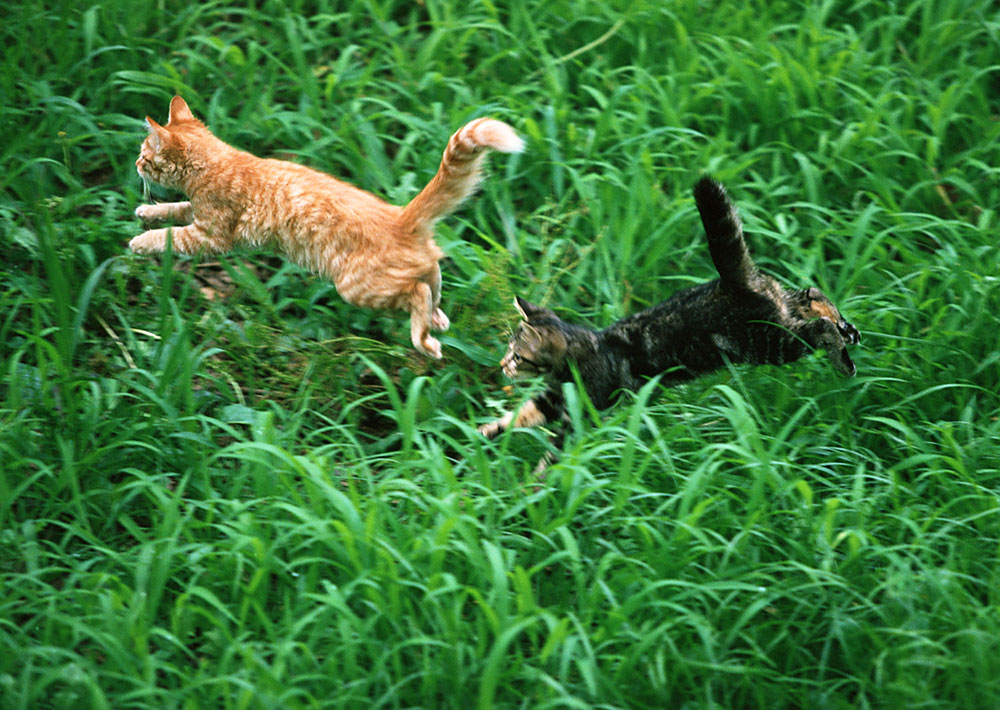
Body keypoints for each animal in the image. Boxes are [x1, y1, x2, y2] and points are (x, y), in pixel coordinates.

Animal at [131, 94, 524, 358]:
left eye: (144, 155)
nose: (135, 164)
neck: (218, 162)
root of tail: (401, 216)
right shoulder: (196, 214)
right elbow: (175, 208)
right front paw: (146, 211)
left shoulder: (210, 236)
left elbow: (170, 236)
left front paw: (141, 241)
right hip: (407, 273)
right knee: (434, 282)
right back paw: (437, 320)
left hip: (356, 288)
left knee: (418, 292)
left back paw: (425, 340)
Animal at [478, 177, 860, 444]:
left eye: (516, 355)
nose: (501, 365)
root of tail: (732, 280)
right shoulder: (551, 400)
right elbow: (514, 418)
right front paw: (479, 437)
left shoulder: (582, 407)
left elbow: (553, 453)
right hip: (779, 313)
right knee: (810, 294)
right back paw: (846, 329)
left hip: (769, 342)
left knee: (818, 328)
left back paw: (843, 360)